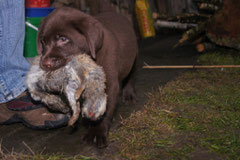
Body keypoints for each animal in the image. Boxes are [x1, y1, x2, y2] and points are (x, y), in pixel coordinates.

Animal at [36, 6, 138, 149]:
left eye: (63, 39)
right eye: (43, 42)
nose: (45, 63)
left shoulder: (108, 84)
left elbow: (102, 109)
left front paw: (97, 132)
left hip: (134, 57)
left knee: (131, 74)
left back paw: (129, 94)